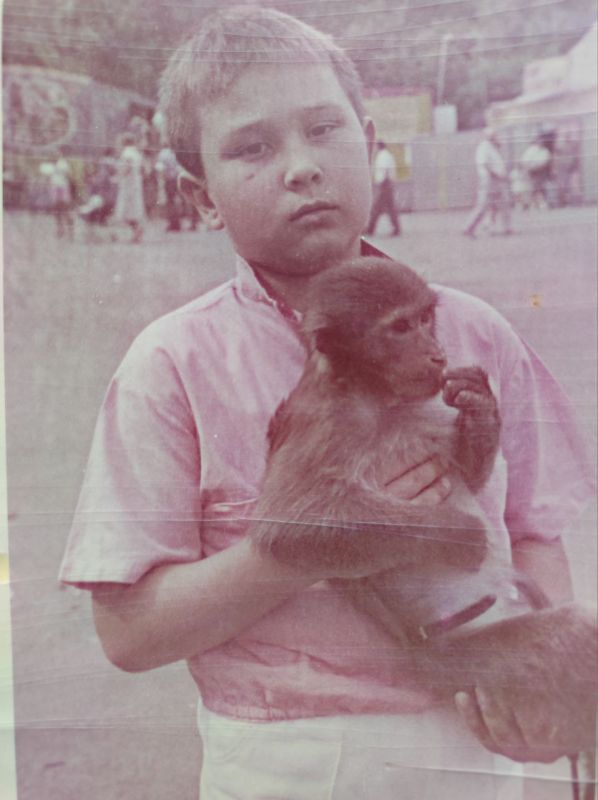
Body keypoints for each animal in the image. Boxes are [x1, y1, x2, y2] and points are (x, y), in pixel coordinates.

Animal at [249, 256, 597, 776]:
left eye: (425, 317)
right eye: (399, 328)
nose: (435, 353)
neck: (377, 394)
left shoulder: (427, 403)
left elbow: (468, 474)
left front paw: (480, 401)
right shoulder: (324, 419)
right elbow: (288, 525)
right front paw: (462, 535)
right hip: (469, 662)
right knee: (573, 633)